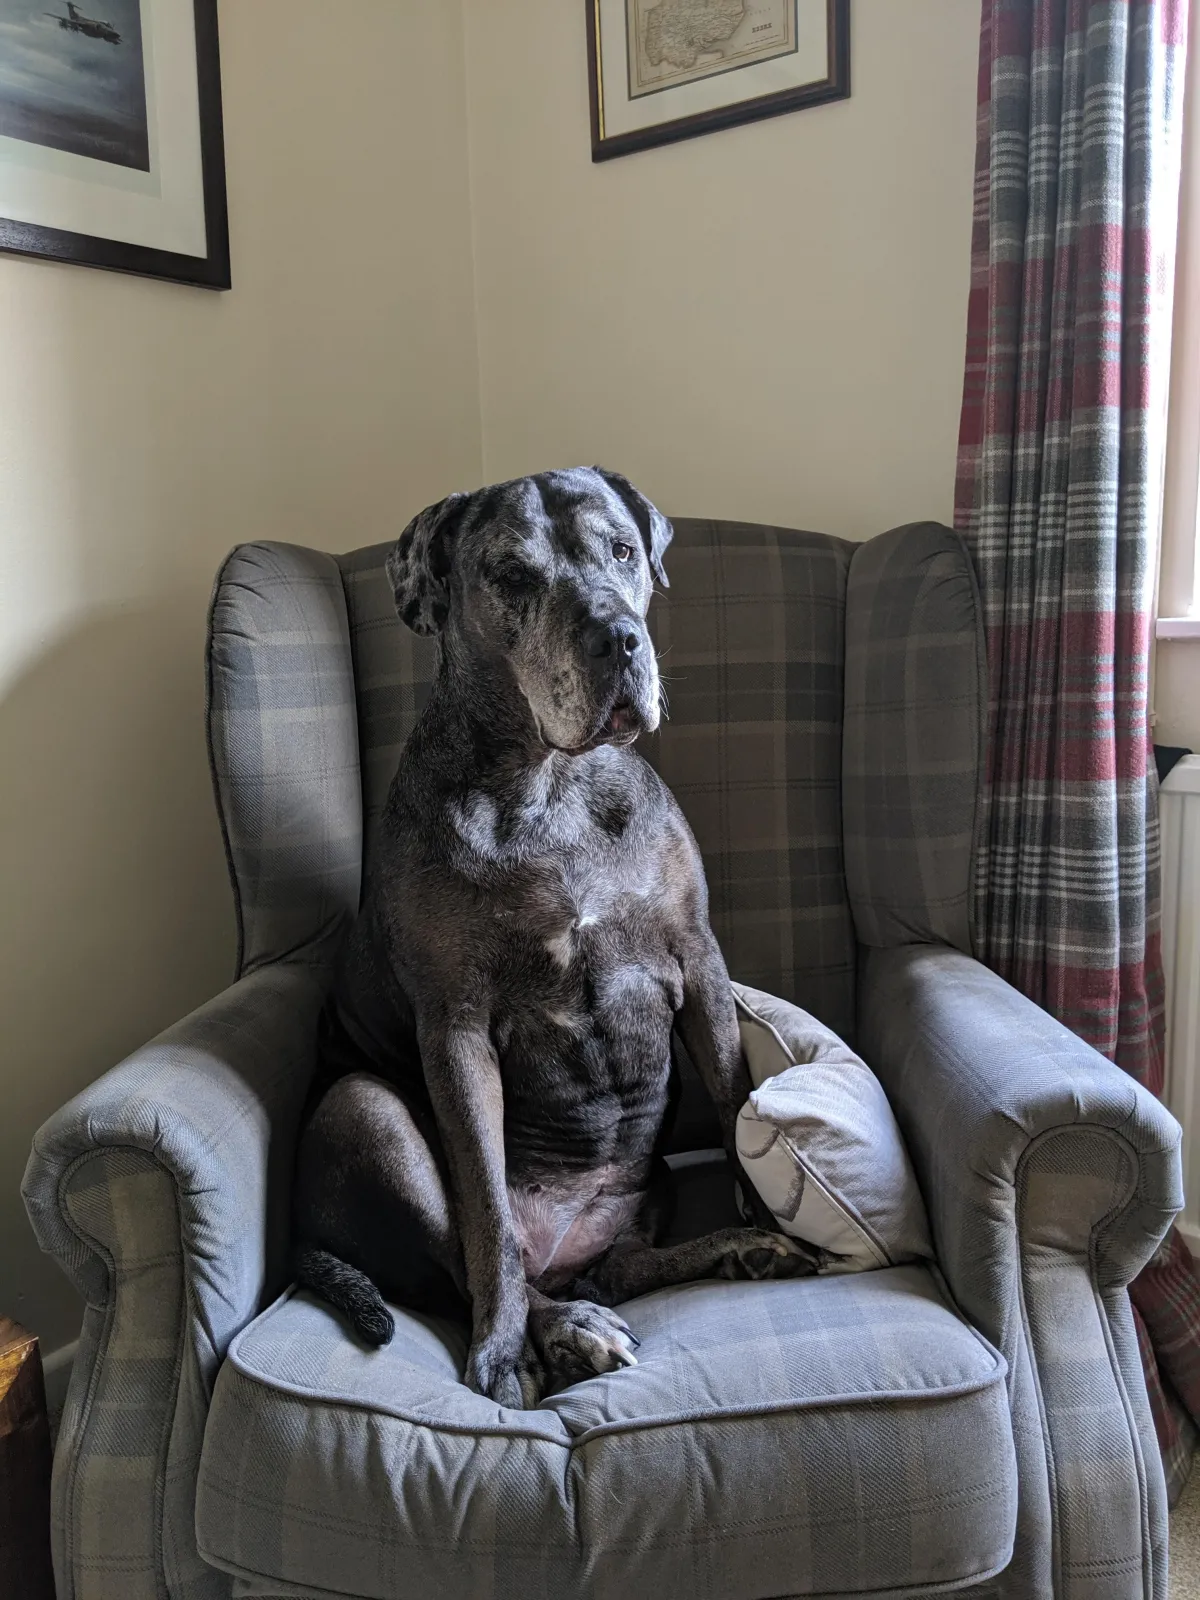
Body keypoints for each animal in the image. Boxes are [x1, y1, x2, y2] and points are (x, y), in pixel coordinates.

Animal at [294, 464, 812, 1401]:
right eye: (510, 575)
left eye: (624, 551)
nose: (620, 639)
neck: (552, 787)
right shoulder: (457, 1030)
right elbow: (486, 1218)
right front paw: (503, 1351)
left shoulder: (698, 959)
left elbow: (731, 1100)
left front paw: (763, 1214)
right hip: (367, 1111)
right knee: (468, 1260)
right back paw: (566, 1328)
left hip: (643, 1192)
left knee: (622, 1266)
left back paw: (733, 1253)